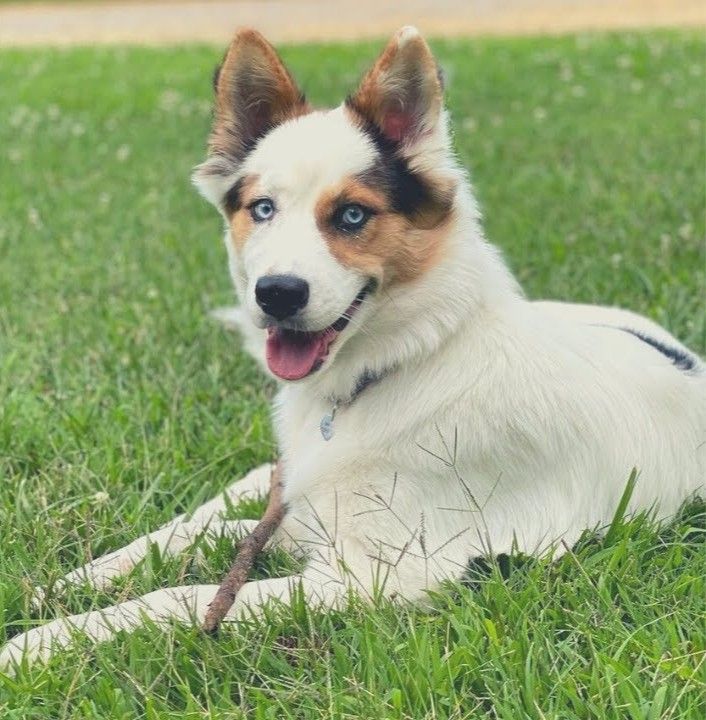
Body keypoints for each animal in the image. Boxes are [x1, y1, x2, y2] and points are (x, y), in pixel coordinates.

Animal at [2, 26, 700, 668]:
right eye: (262, 209)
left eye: (353, 217)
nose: (276, 294)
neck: (394, 369)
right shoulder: (310, 527)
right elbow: (189, 540)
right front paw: (71, 584)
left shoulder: (376, 573)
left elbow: (186, 594)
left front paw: (43, 643)